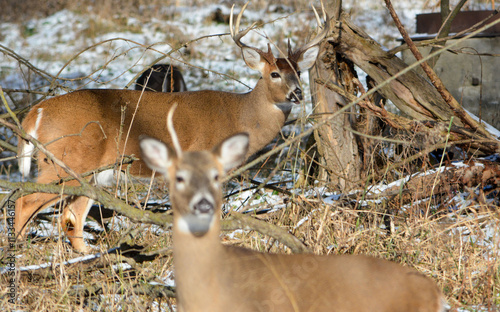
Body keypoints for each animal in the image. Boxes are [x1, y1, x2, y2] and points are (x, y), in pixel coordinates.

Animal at [14, 3, 328, 251]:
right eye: (274, 74)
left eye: (299, 71)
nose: (297, 93)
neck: (240, 117)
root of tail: (35, 113)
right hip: (65, 162)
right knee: (26, 200)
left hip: (90, 174)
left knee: (71, 218)